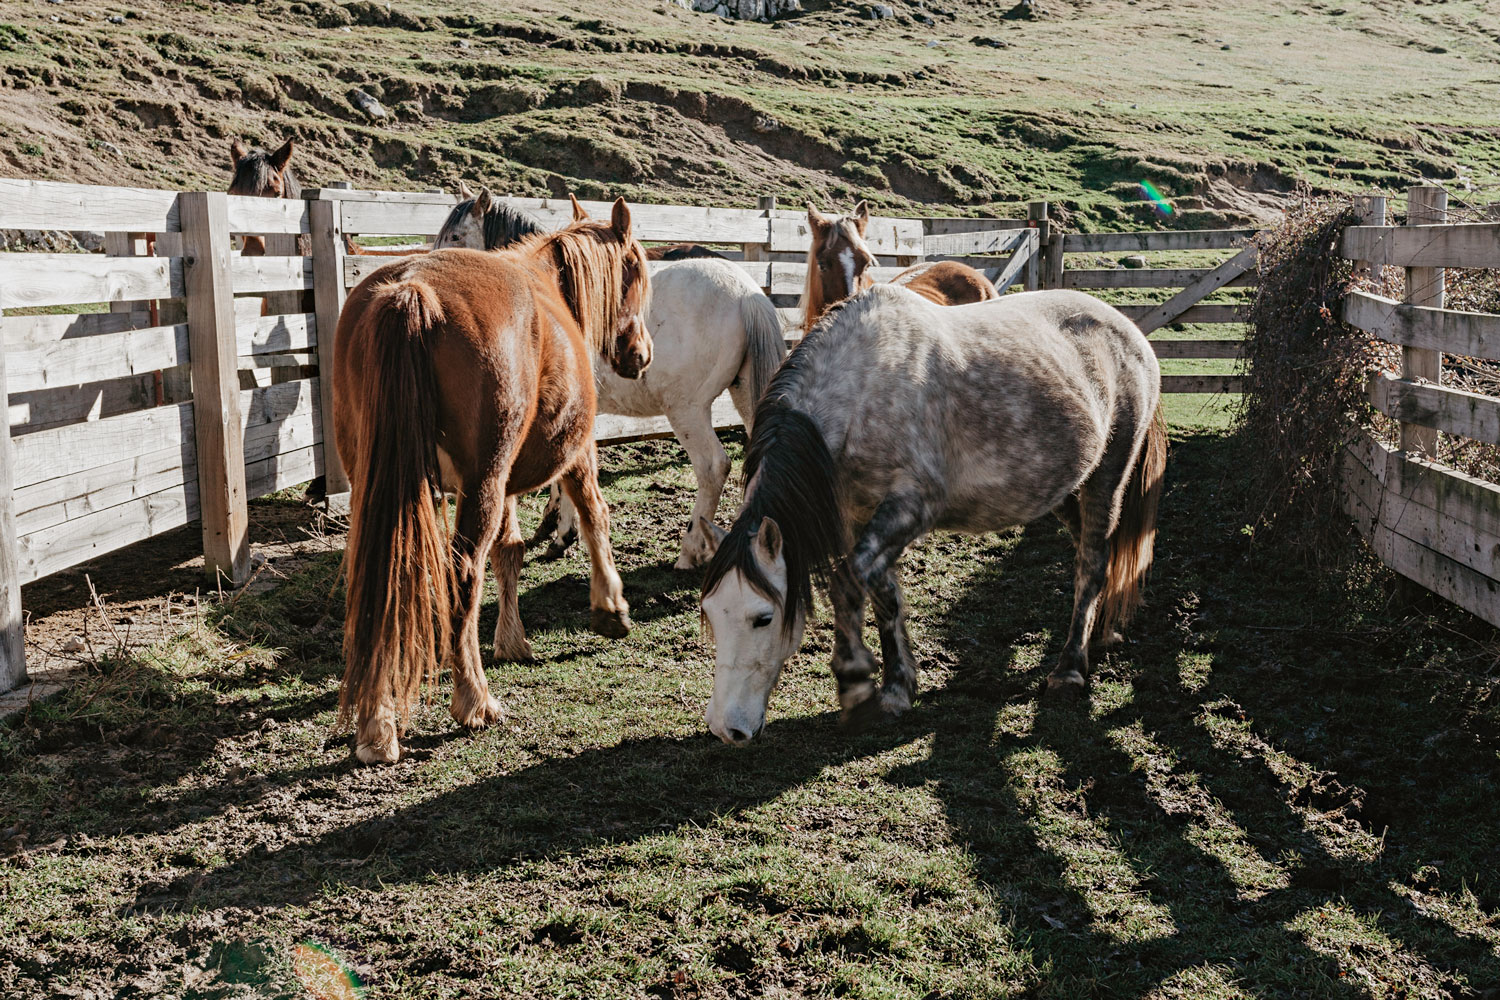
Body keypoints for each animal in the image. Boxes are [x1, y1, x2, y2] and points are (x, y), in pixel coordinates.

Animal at [337, 199, 654, 761]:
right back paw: (474, 701)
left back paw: (377, 725)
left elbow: (510, 550)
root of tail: (410, 290)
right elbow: (594, 514)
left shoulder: (501, 484)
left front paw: (511, 640)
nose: (641, 353)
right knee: (463, 574)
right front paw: (611, 606)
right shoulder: (574, 451)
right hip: (479, 482)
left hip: (380, 487)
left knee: (384, 577)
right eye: (636, 267)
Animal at [438, 193, 780, 569]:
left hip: (687, 410)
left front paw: (560, 532)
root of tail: (747, 294)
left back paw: (691, 550)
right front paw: (557, 528)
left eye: (455, 237)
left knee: (712, 467)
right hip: (745, 395)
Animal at [696, 284, 1164, 746]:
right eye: (712, 613)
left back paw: (1069, 671)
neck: (861, 390)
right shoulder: (857, 516)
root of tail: (1130, 331)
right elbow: (882, 595)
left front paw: (856, 684)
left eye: (763, 618)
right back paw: (1100, 633)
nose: (726, 728)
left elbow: (847, 582)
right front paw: (897, 689)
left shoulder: (912, 508)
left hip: (1107, 478)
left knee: (1092, 564)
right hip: (1065, 491)